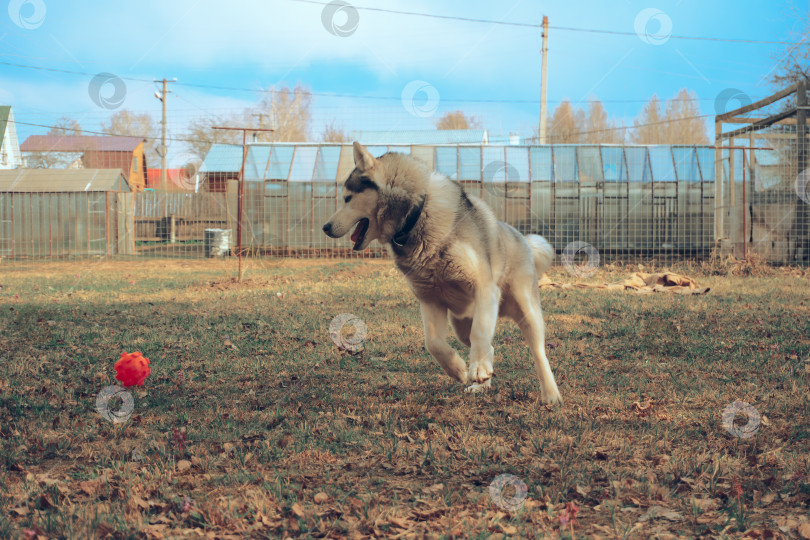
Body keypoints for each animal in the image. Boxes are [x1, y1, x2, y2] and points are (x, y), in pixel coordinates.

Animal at [318, 141, 560, 402]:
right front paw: (459, 369)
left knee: (537, 351)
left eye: (347, 198)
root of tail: (522, 238)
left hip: (526, 311)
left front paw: (476, 369)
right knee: (488, 345)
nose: (325, 227)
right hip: (461, 324)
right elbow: (433, 343)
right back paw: (482, 383)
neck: (416, 217)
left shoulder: (485, 289)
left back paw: (549, 393)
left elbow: (480, 333)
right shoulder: (430, 300)